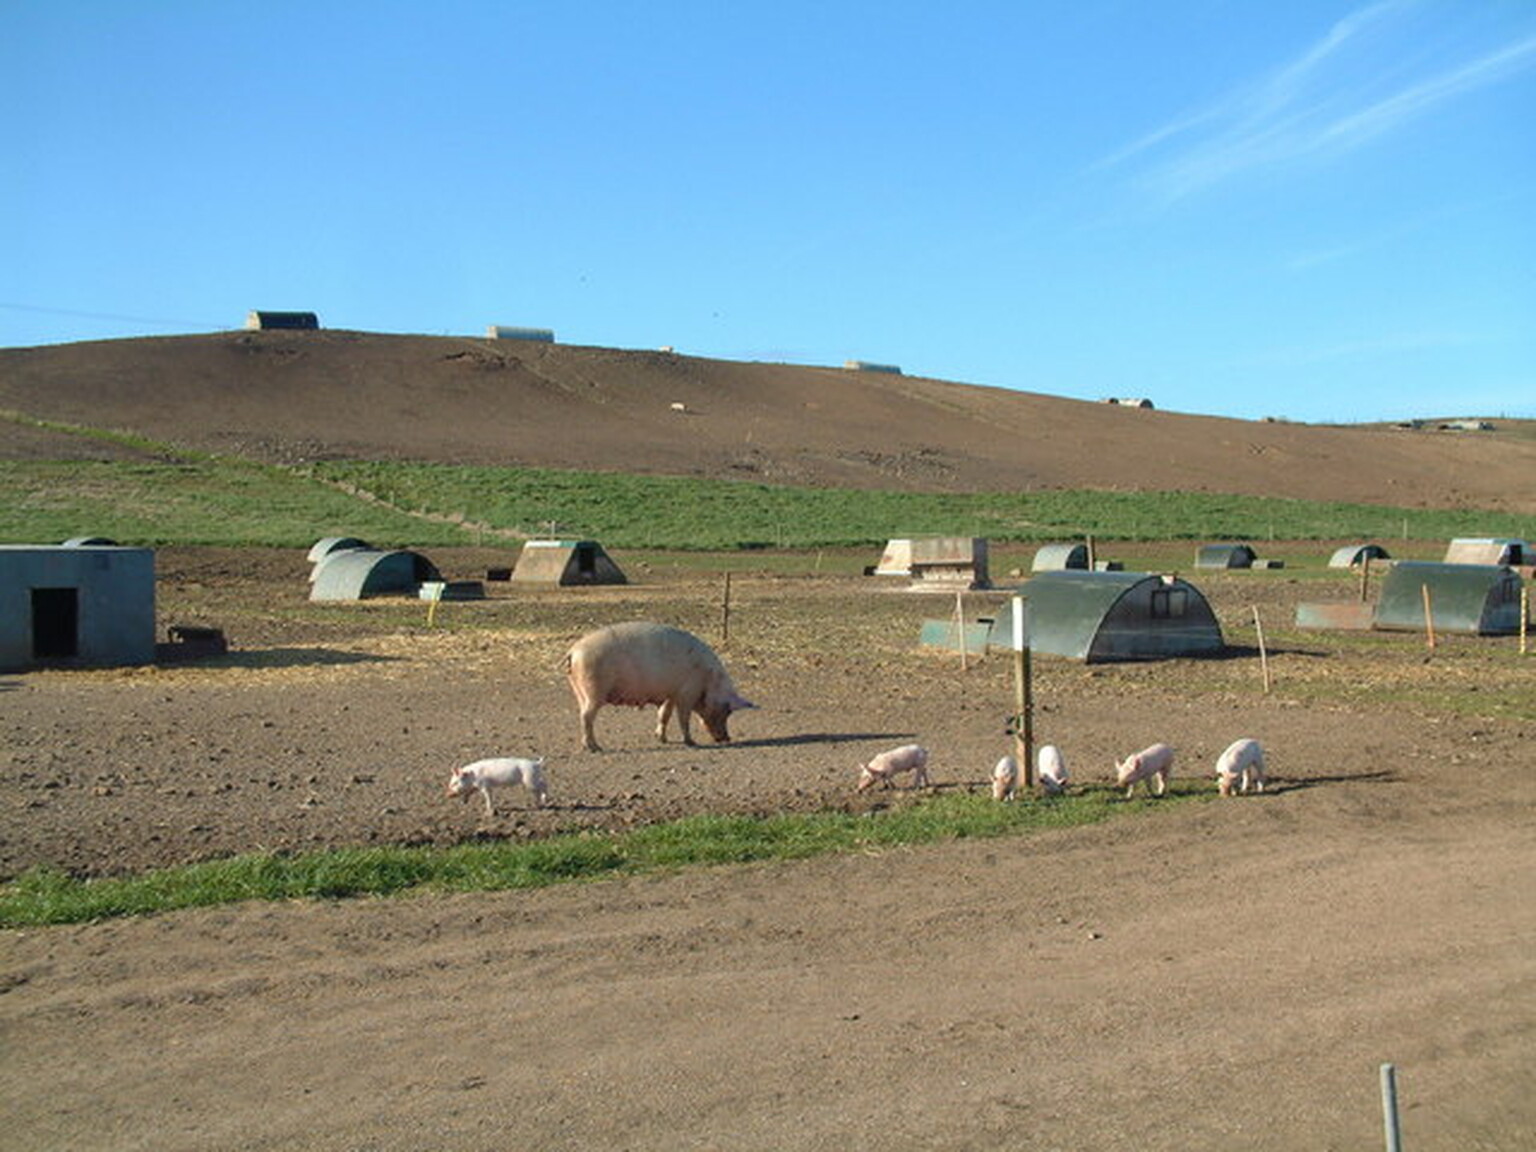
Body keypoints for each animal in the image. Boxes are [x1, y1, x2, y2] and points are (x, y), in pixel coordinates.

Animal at [565, 622, 755, 752]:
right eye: (727, 710)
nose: (727, 738)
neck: (708, 679)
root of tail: (573, 652)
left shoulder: (670, 694)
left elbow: (664, 715)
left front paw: (662, 739)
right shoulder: (687, 693)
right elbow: (683, 718)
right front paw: (691, 742)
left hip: (579, 691)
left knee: (582, 714)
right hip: (594, 691)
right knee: (586, 717)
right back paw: (595, 748)